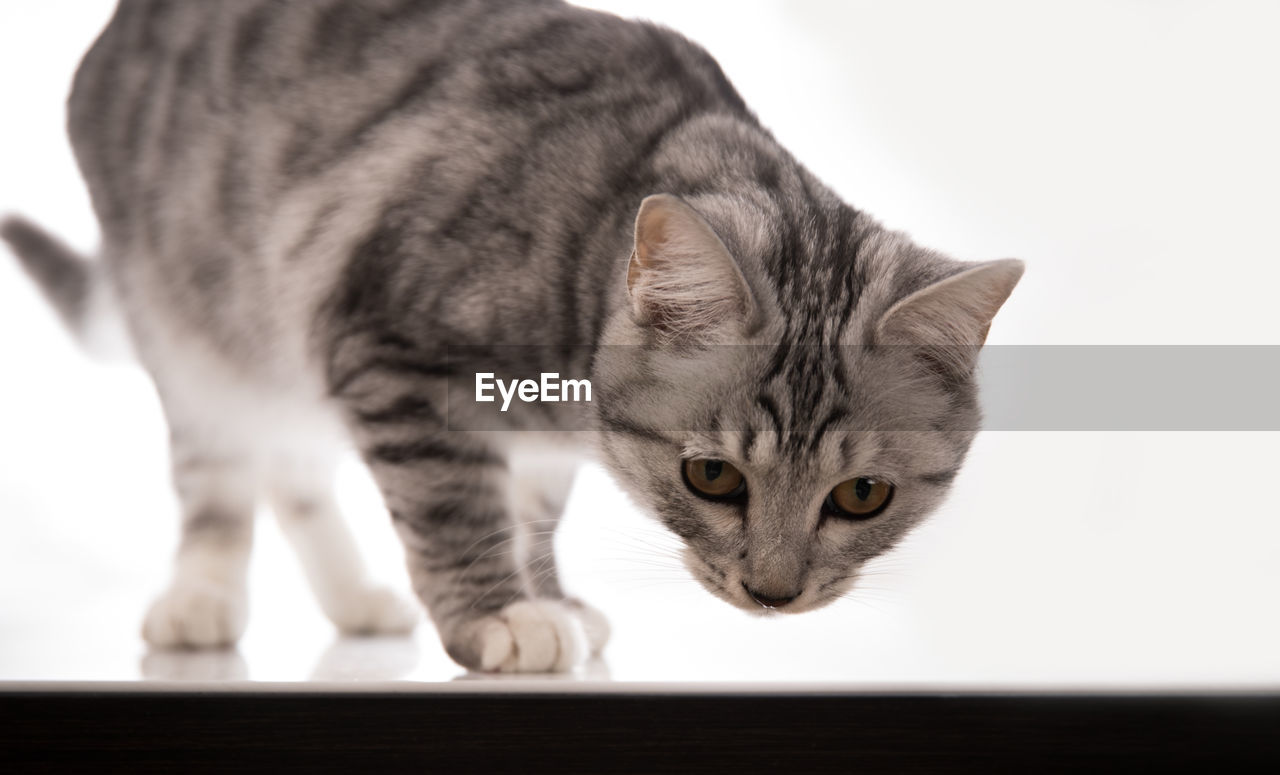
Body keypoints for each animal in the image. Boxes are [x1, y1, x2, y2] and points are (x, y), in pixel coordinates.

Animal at [0, 0, 1018, 671]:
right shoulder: (390, 355)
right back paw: (202, 599)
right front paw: (502, 616)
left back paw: (354, 598)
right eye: (712, 476)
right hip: (199, 329)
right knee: (221, 478)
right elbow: (454, 504)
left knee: (293, 471)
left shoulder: (529, 439)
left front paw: (548, 594)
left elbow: (531, 510)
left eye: (863, 496)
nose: (773, 593)